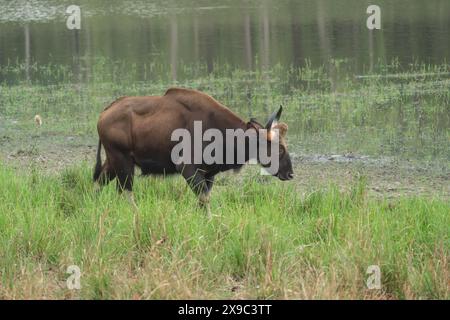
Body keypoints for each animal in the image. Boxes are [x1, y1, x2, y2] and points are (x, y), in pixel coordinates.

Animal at [93, 87, 294, 214]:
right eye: (279, 148)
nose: (290, 174)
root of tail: (103, 114)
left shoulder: (208, 174)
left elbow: (203, 200)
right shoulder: (187, 168)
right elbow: (204, 200)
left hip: (113, 162)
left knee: (100, 183)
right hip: (122, 161)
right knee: (125, 192)